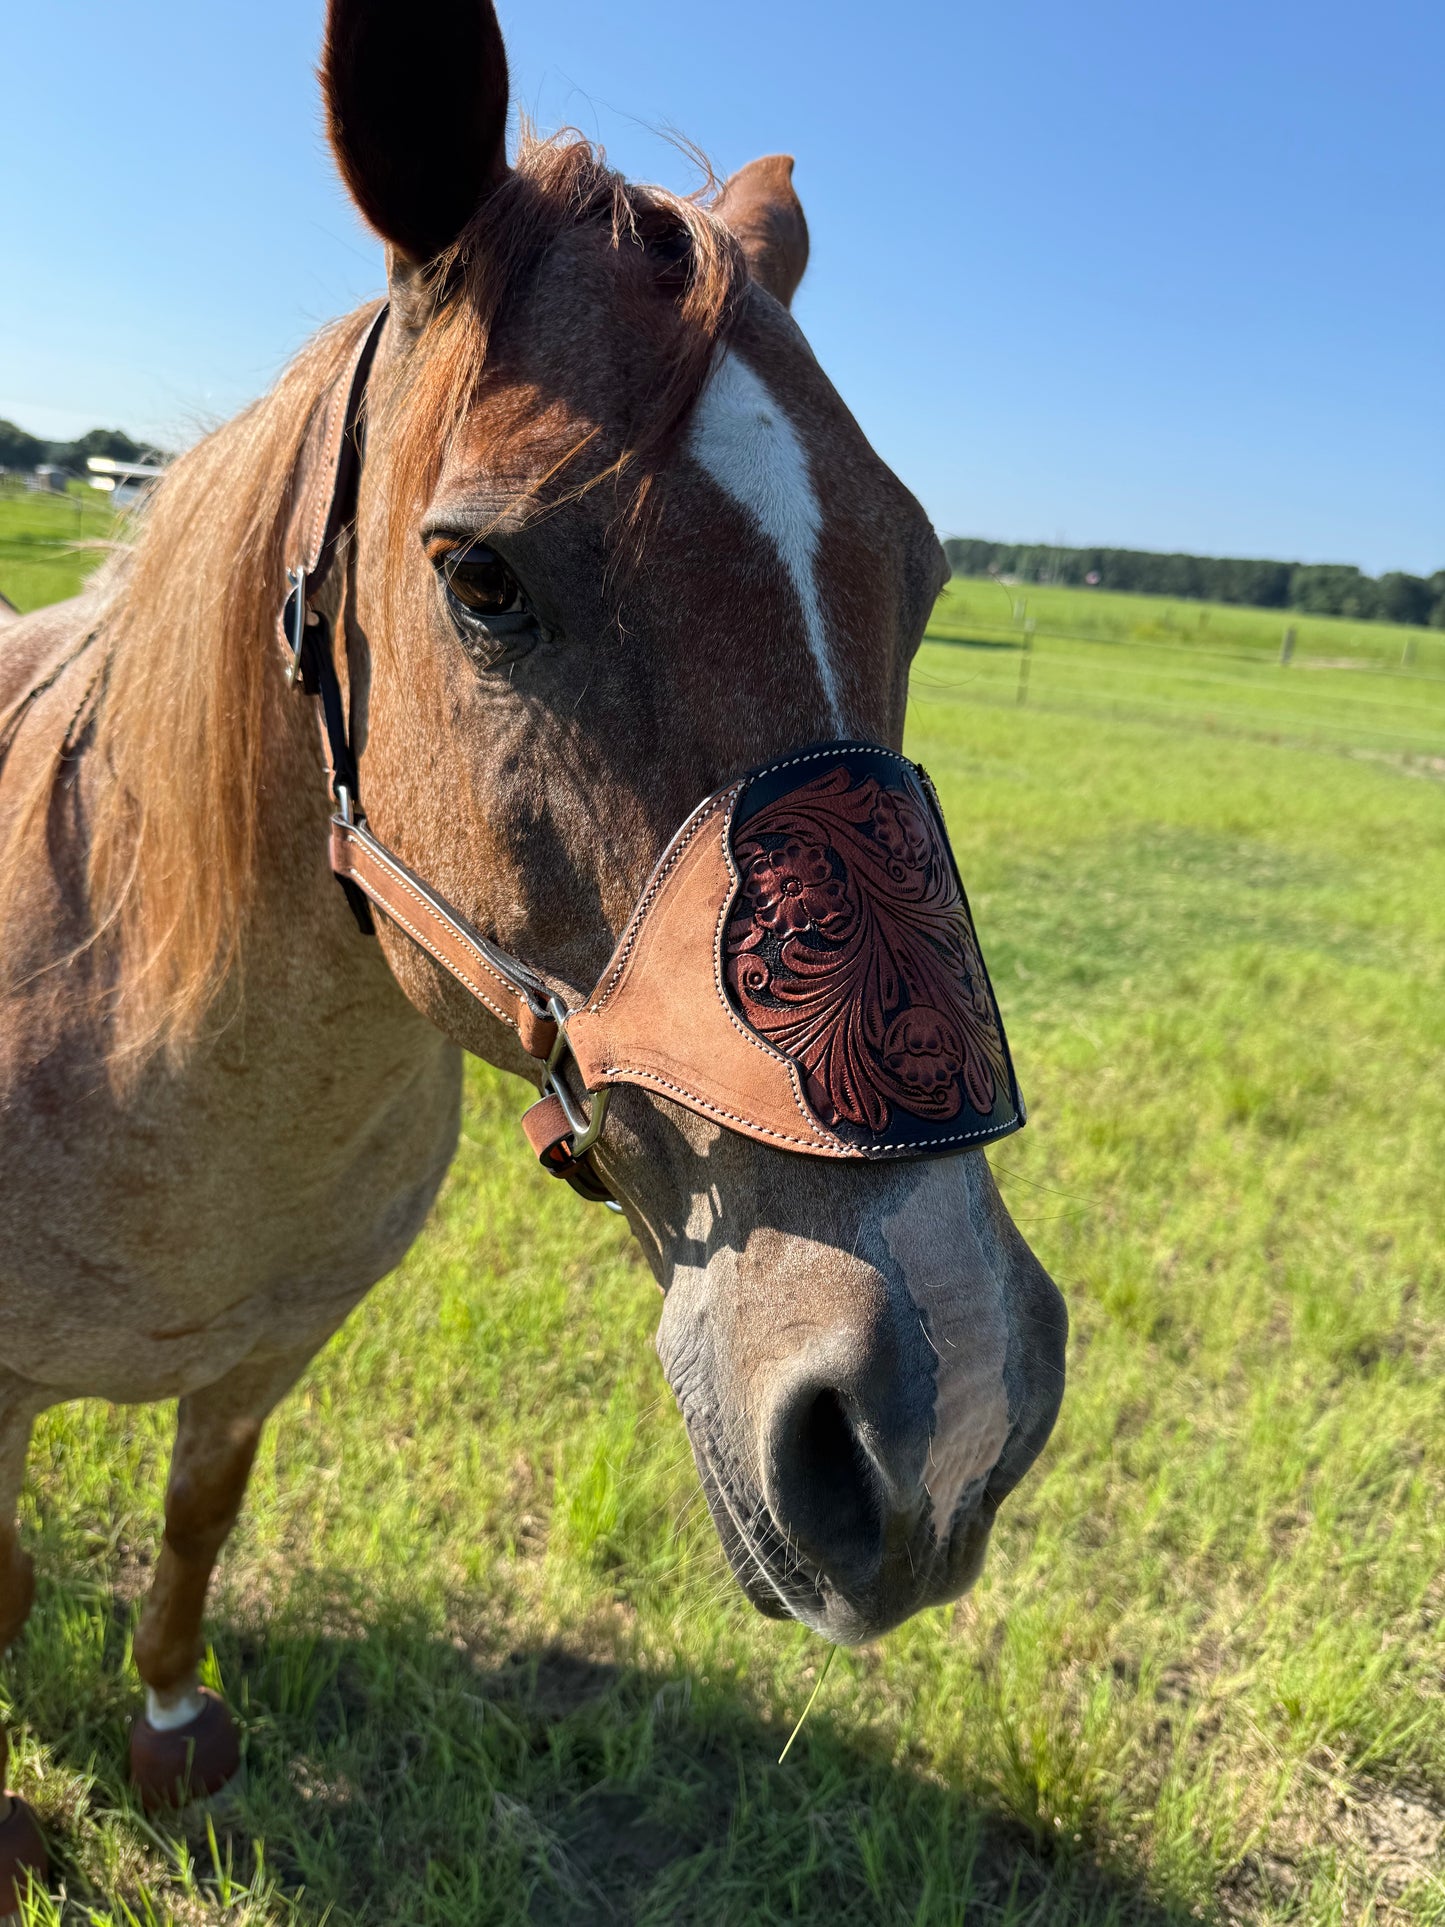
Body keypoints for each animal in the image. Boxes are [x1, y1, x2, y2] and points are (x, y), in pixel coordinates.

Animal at [0, 0, 1066, 1894]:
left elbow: (196, 1514)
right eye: (482, 577)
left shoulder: (266, 1357)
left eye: (924, 577)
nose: (946, 1408)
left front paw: (175, 1725)